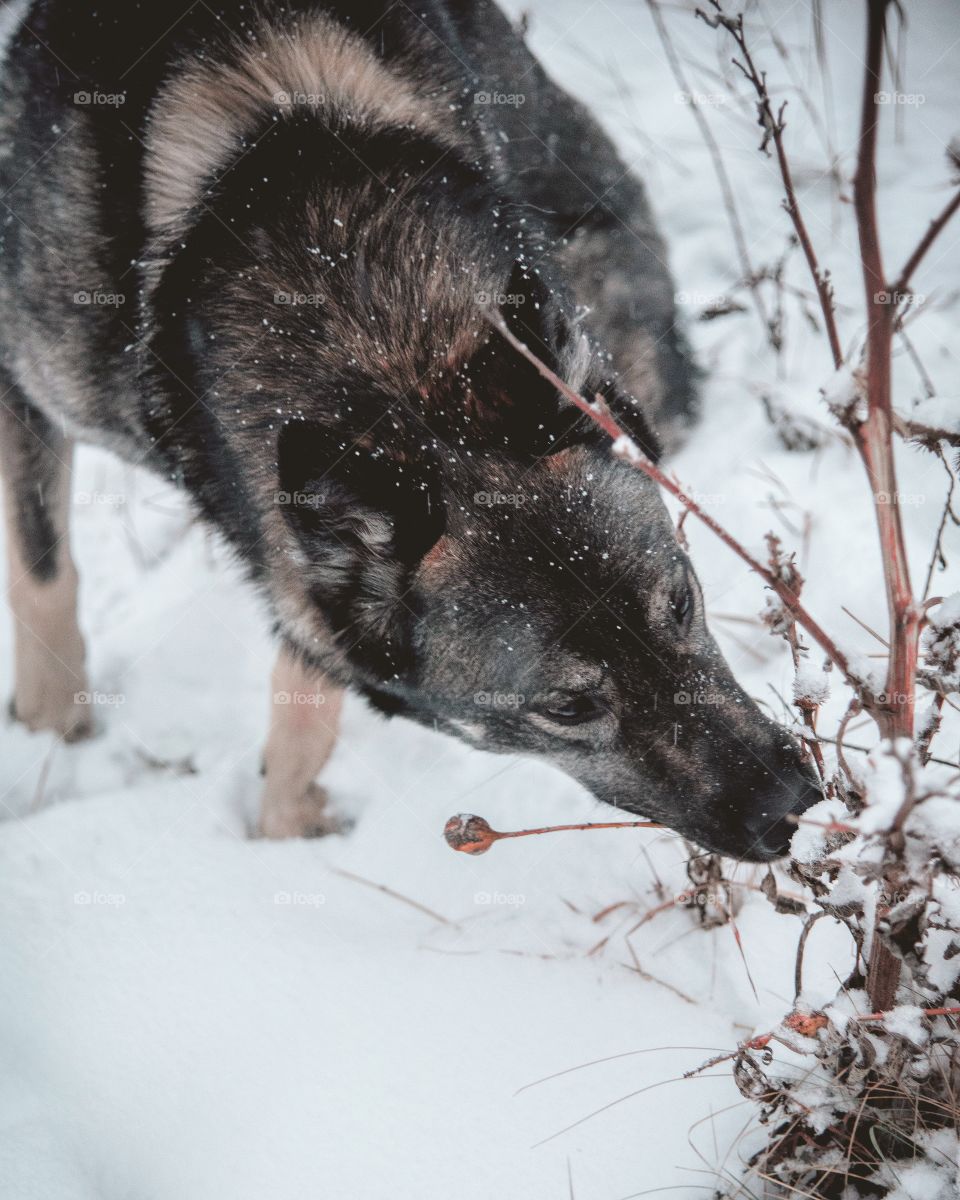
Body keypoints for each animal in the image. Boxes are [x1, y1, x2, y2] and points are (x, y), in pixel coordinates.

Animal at [0, 0, 816, 854]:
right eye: (567, 707)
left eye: (683, 604)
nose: (793, 802)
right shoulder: (27, 383)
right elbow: (42, 570)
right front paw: (52, 729)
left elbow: (306, 675)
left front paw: (287, 813)